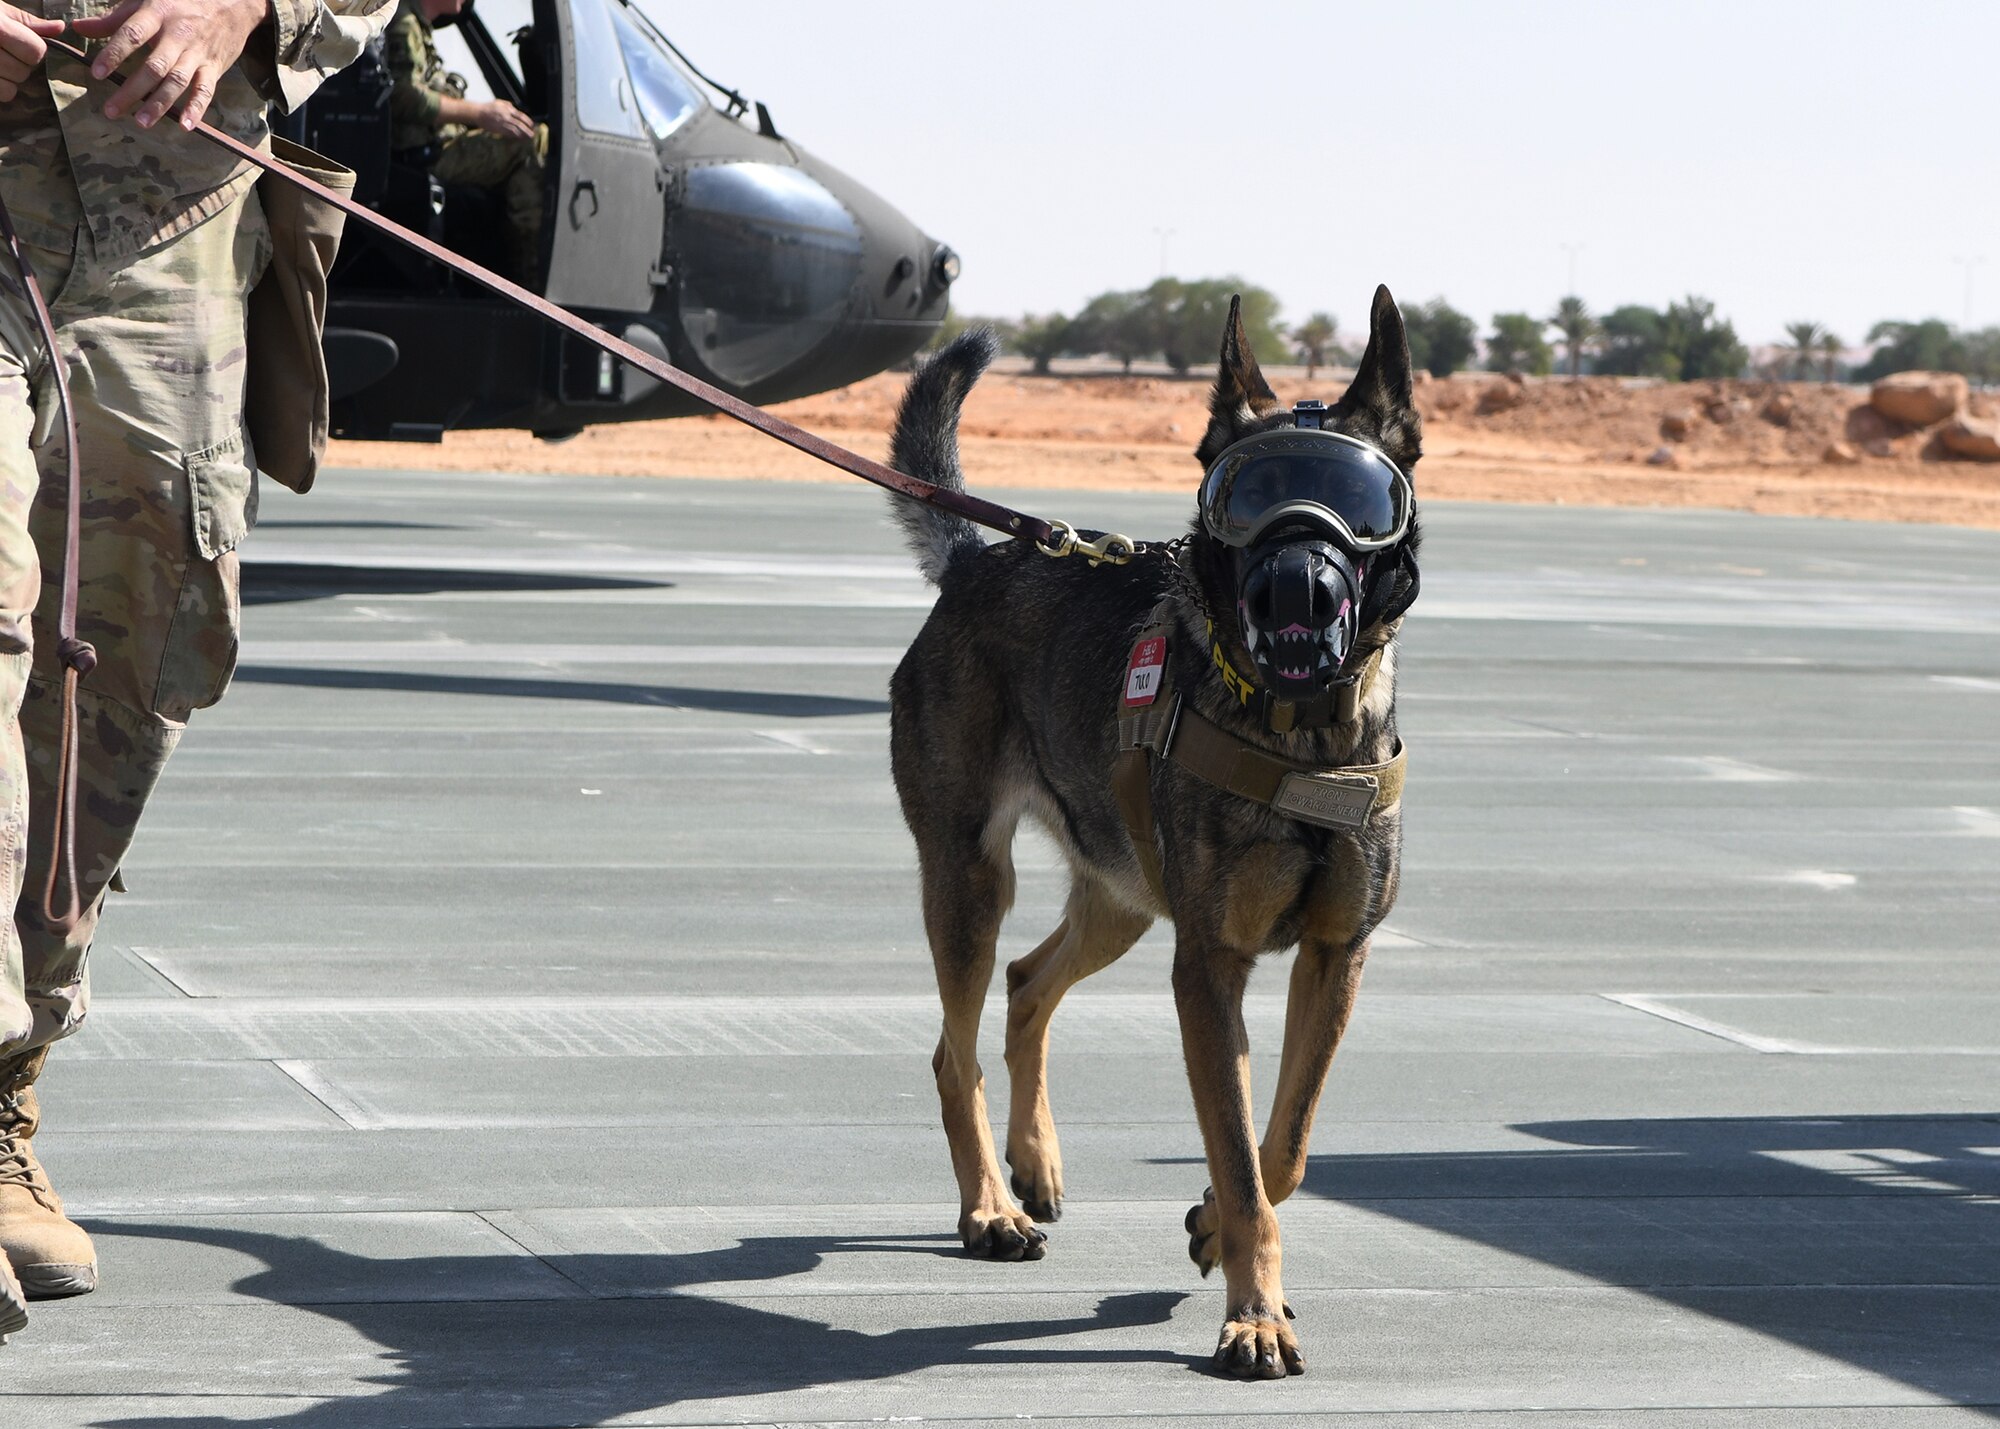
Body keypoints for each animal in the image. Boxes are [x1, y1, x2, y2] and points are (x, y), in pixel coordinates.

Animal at [888, 286, 1424, 1368]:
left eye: (1361, 503)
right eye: (1244, 497)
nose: (1297, 588)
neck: (1301, 733)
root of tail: (975, 561)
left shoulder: (1332, 957)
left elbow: (1280, 1148)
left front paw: (1215, 1226)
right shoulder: (1208, 968)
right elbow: (1242, 1147)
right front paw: (1252, 1312)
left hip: (1122, 899)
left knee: (1026, 986)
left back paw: (1035, 1165)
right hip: (972, 885)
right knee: (954, 1050)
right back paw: (991, 1209)